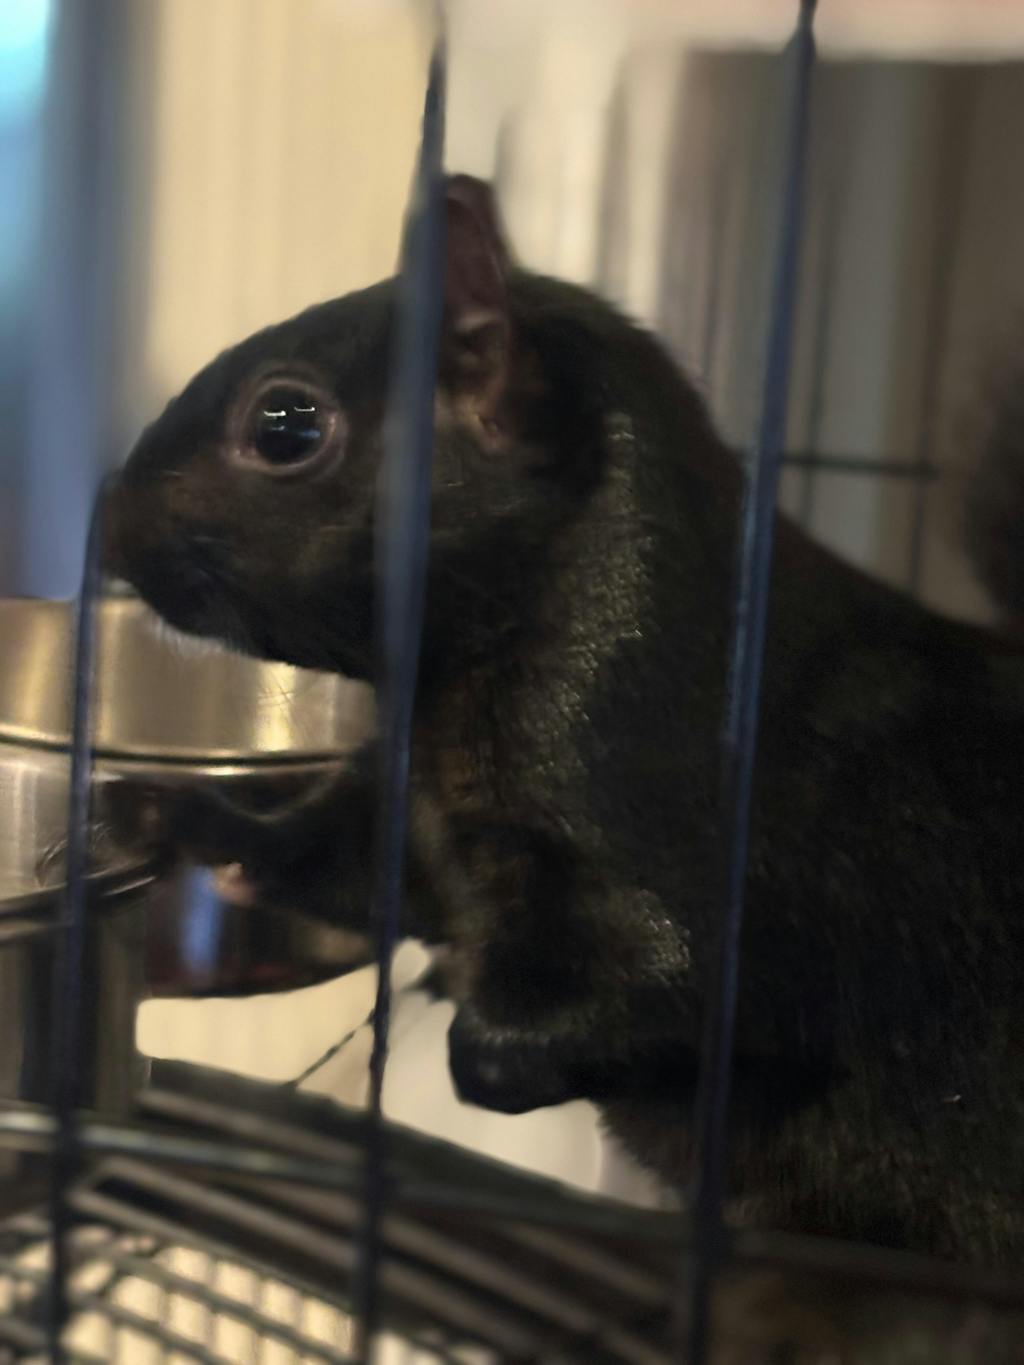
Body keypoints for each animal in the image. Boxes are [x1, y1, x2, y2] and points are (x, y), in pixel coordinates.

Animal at [104, 174, 1024, 1267]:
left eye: (286, 424)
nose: (104, 524)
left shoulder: (680, 848)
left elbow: (674, 991)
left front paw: (472, 1032)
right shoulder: (412, 826)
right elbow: (332, 859)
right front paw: (184, 819)